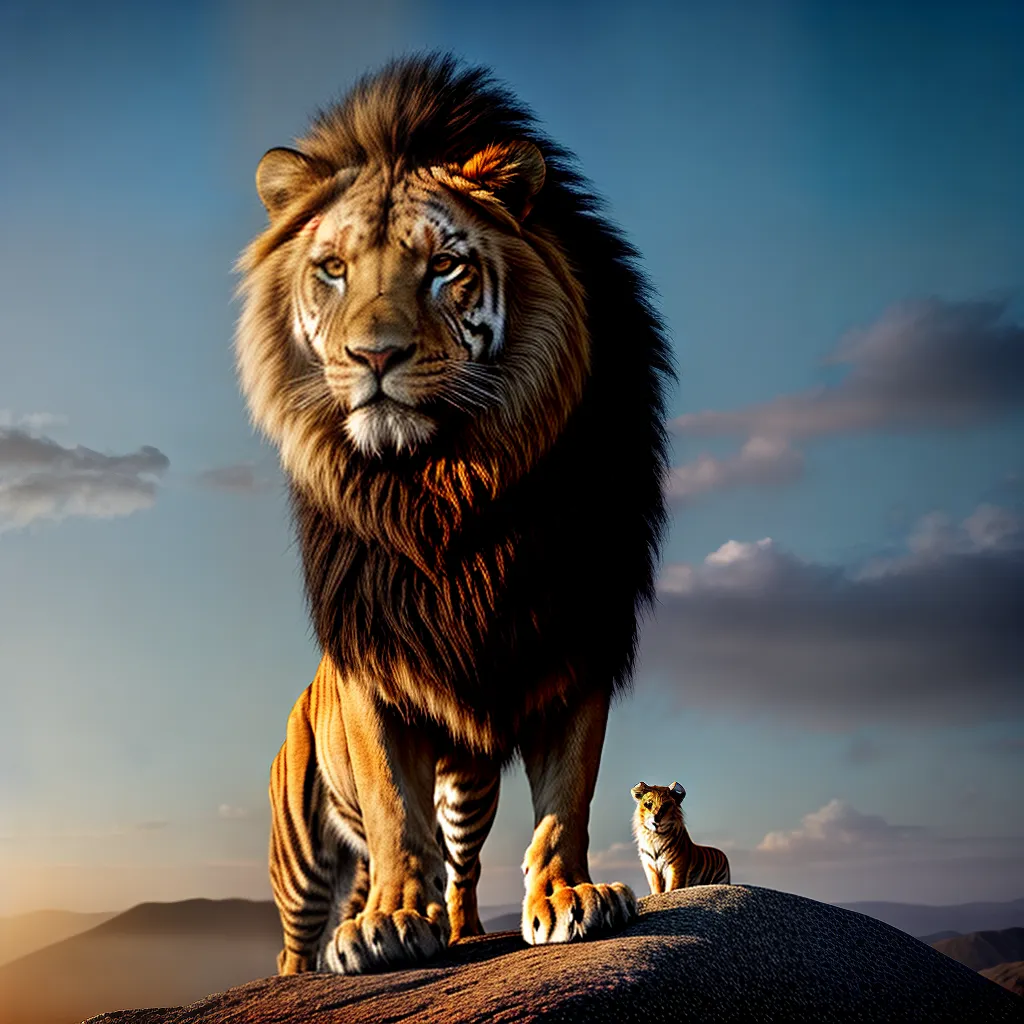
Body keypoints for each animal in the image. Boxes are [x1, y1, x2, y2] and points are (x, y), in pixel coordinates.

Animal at [236, 54, 673, 976]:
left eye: (443, 267)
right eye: (333, 269)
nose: (373, 356)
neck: (439, 490)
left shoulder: (578, 634)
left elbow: (566, 797)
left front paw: (567, 898)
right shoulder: (372, 662)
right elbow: (392, 807)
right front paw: (393, 924)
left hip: (467, 785)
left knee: (461, 862)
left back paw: (466, 928)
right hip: (298, 854)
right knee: (303, 930)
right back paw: (326, 954)